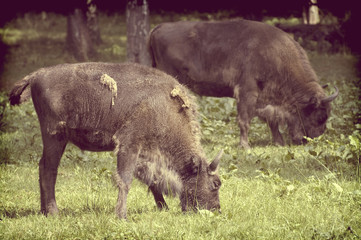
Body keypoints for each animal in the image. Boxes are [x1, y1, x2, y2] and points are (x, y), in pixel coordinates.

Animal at [9, 62, 222, 219]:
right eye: (215, 184)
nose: (216, 210)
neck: (165, 109)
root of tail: (36, 75)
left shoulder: (145, 156)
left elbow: (152, 181)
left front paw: (163, 207)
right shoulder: (129, 146)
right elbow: (125, 181)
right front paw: (121, 216)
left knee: (42, 166)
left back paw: (44, 211)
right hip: (55, 136)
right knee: (49, 169)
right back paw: (54, 213)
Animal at [147, 19, 338, 148]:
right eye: (320, 116)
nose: (312, 139)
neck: (276, 56)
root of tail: (158, 28)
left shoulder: (266, 99)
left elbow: (272, 121)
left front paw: (278, 142)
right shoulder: (247, 93)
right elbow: (244, 120)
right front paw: (245, 146)